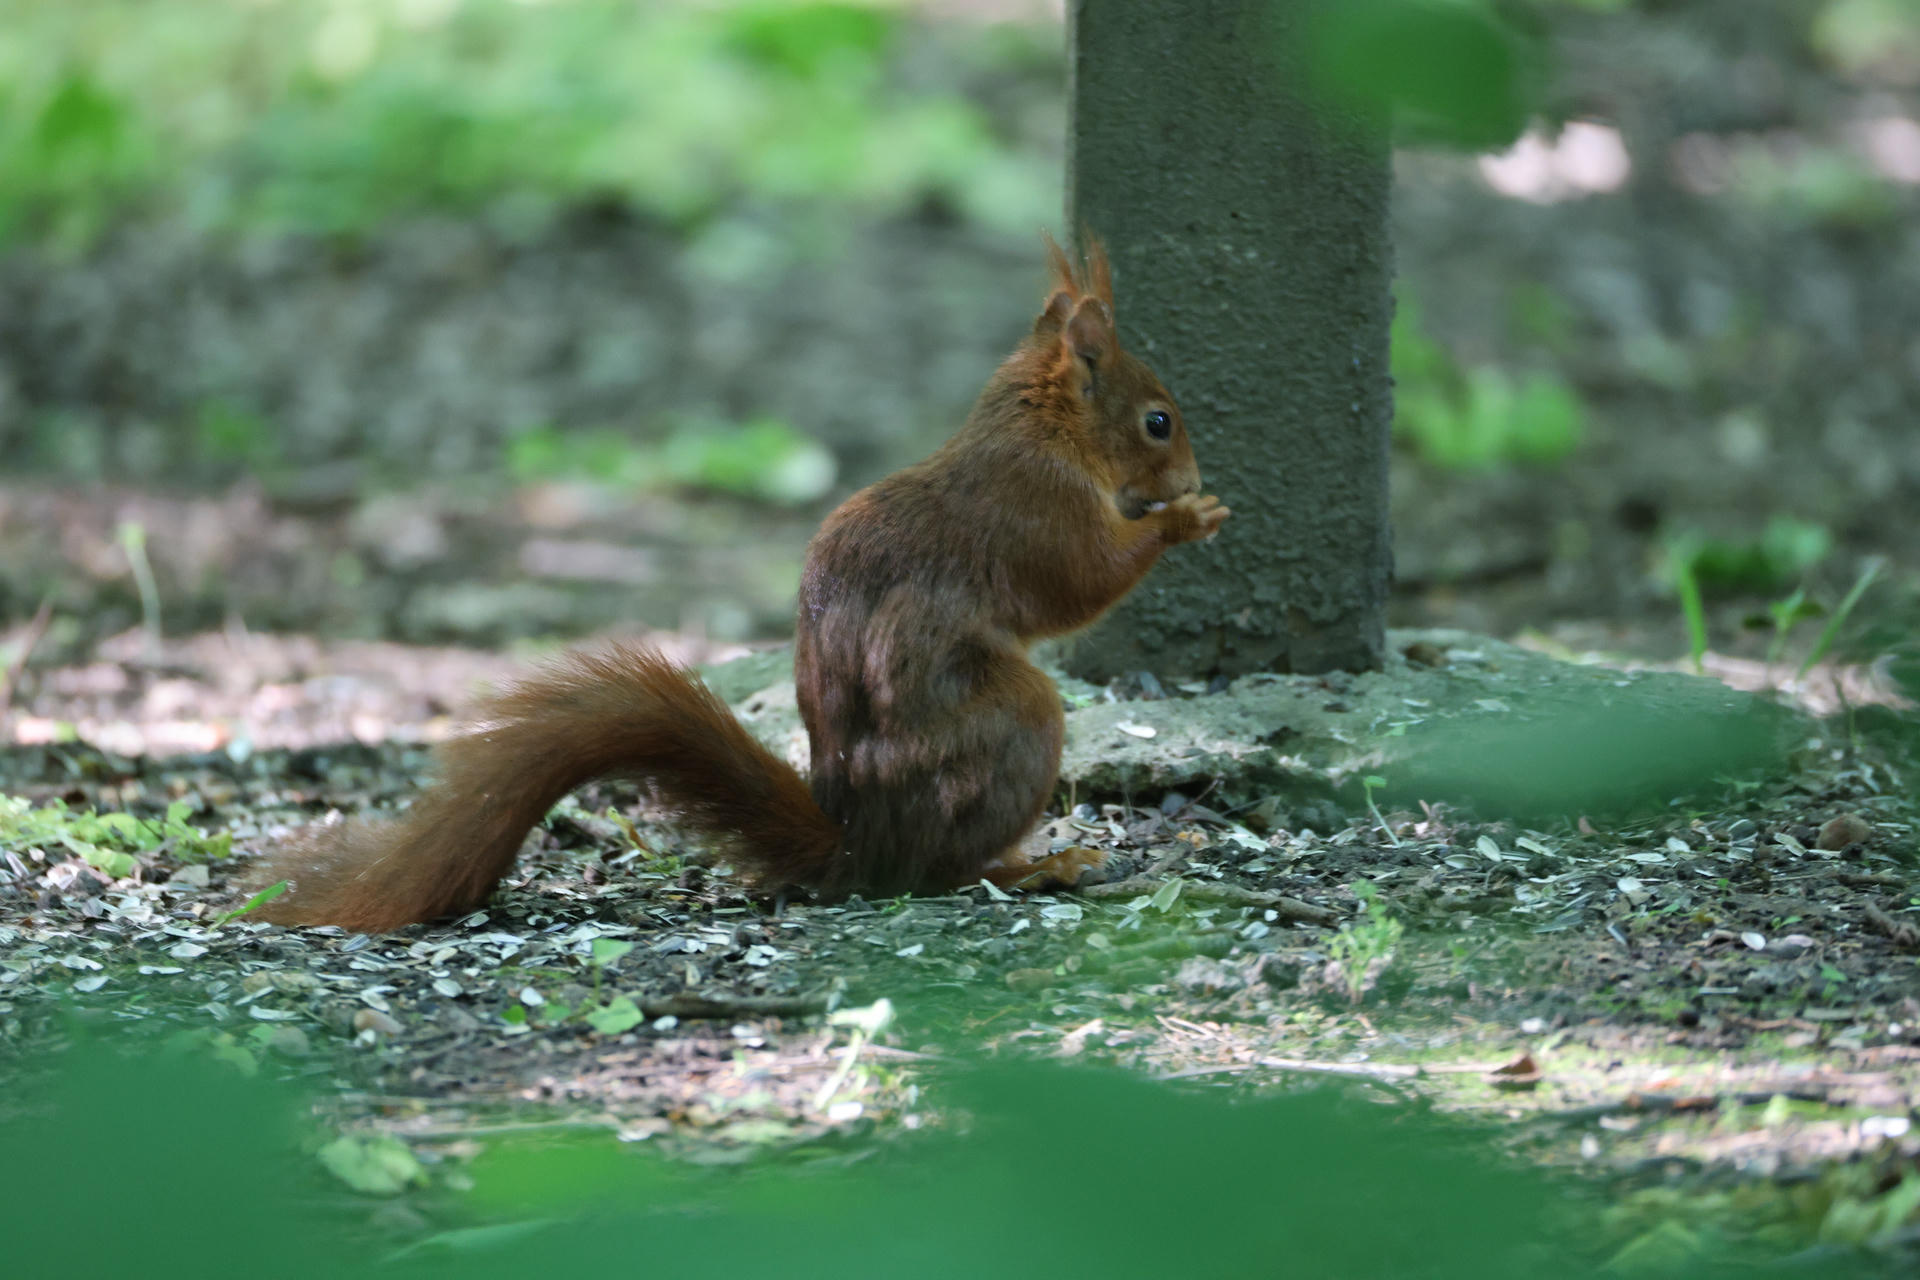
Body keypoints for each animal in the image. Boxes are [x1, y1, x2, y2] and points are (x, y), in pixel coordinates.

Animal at [250, 236, 1228, 932]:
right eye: (1158, 421)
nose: (1188, 475)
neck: (1042, 429)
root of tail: (862, 845)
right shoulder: (1037, 512)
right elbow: (1083, 580)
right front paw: (1186, 518)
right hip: (1015, 726)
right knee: (943, 874)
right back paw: (1039, 865)